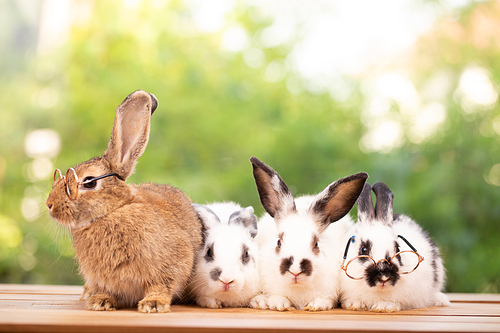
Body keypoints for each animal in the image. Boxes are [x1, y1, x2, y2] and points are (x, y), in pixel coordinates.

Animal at [46, 90, 202, 312]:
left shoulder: (172, 263)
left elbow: (161, 285)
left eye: (89, 182)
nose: (49, 205)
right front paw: (100, 302)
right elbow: (107, 289)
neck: (113, 210)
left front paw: (153, 304)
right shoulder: (103, 279)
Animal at [247, 157, 368, 310]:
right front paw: (279, 304)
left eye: (316, 244)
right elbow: (277, 297)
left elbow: (325, 300)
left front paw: (316, 306)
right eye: (278, 242)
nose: (295, 269)